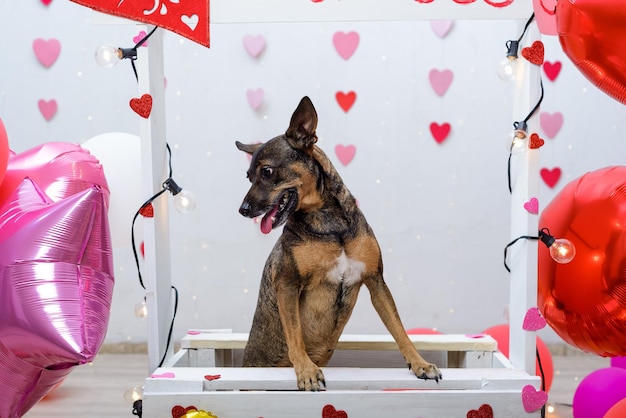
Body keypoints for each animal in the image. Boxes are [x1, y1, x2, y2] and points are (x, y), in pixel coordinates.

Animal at [235, 96, 444, 390]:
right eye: (248, 176)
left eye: (266, 171)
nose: (242, 210)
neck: (331, 225)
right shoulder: (287, 283)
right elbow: (294, 335)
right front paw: (306, 371)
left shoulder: (376, 280)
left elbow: (398, 328)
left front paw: (419, 363)